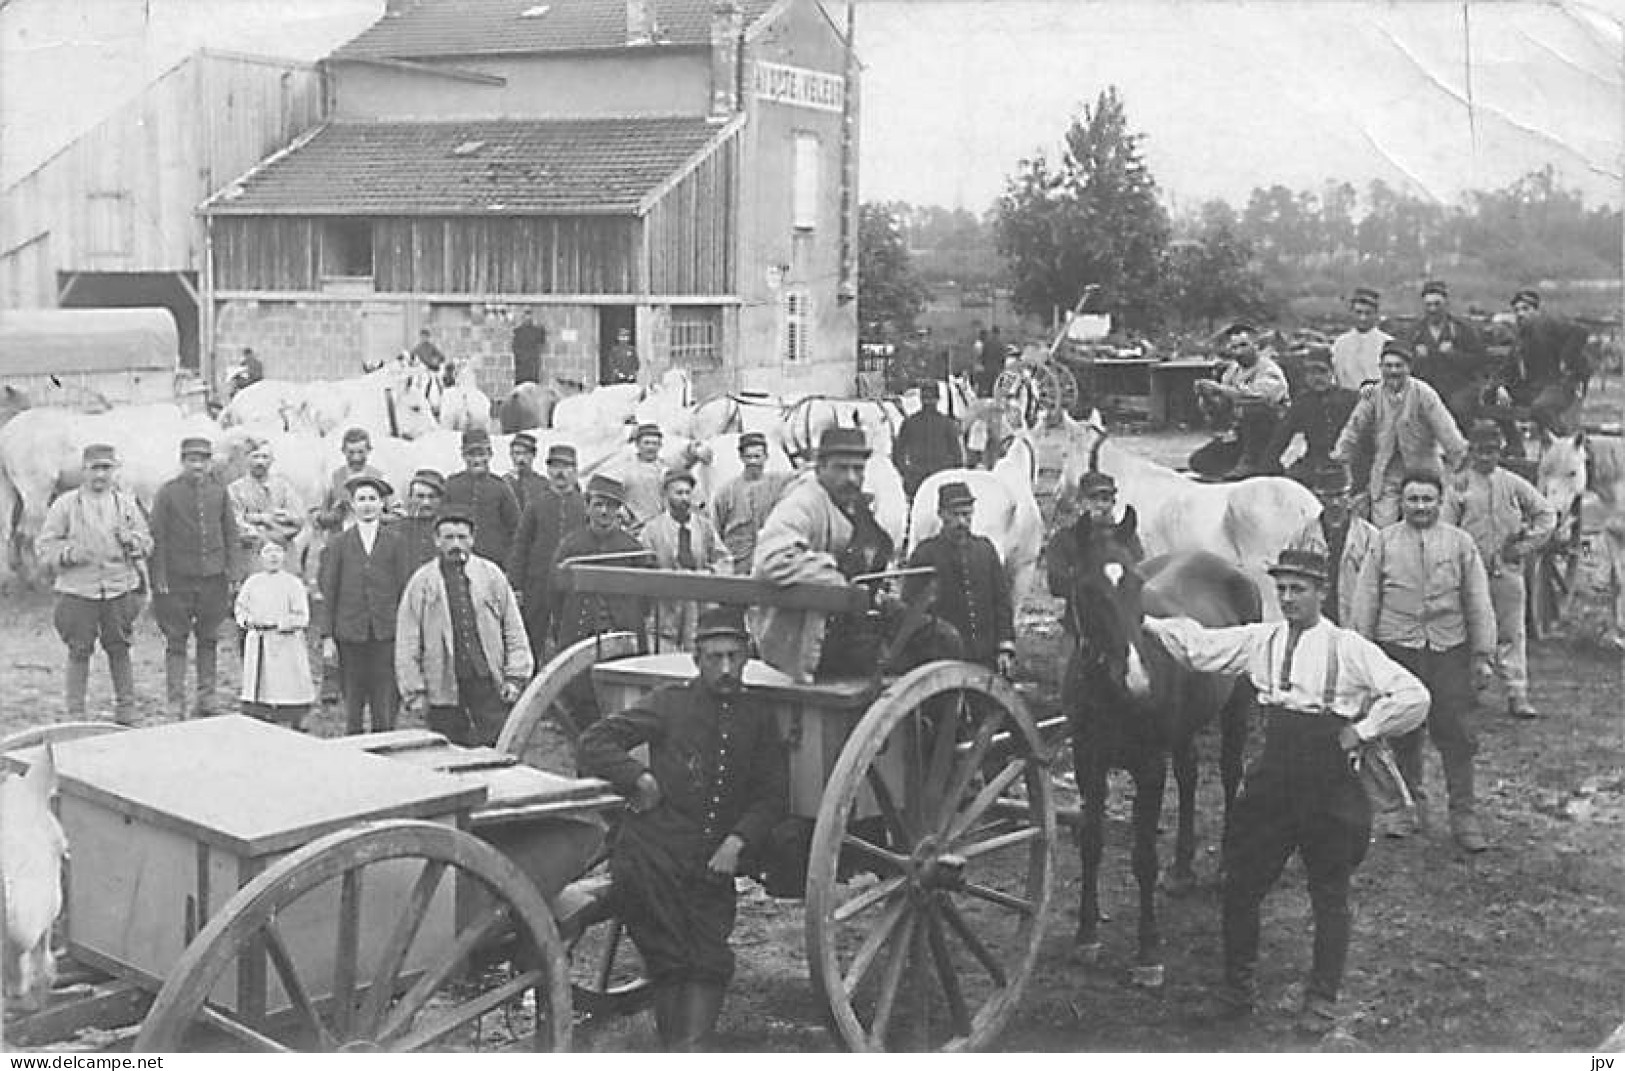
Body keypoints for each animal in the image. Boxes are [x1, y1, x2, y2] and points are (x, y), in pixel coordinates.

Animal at [1046, 510, 1261, 988]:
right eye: (1088, 589)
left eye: (1136, 585)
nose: (1138, 681)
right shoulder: (1088, 763)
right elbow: (1091, 844)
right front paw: (1086, 936)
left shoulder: (1147, 767)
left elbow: (1144, 857)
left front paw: (1147, 953)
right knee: (1189, 775)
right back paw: (1181, 871)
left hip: (1236, 707)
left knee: (1230, 772)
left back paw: (1223, 868)